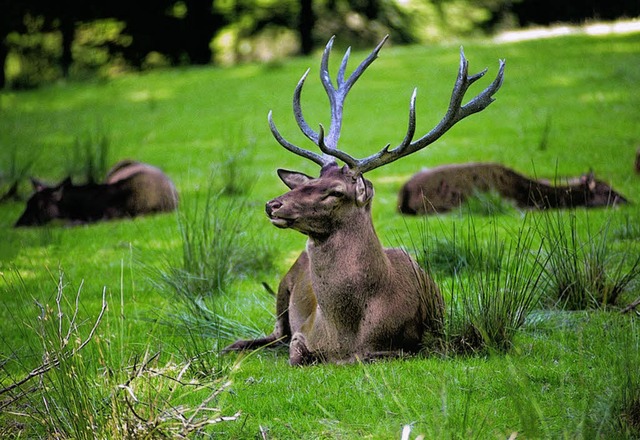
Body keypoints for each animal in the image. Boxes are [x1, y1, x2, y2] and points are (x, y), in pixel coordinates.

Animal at [225, 35, 504, 364]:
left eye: (335, 192)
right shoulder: (303, 332)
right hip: (283, 287)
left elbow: (376, 355)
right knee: (274, 333)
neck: (346, 337)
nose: (273, 205)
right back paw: (234, 345)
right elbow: (296, 354)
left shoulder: (417, 343)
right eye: (312, 181)